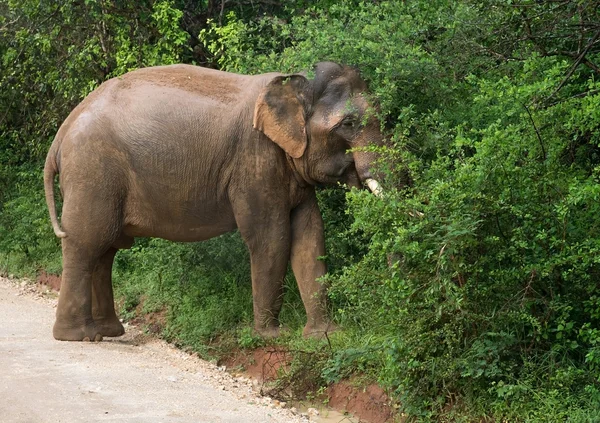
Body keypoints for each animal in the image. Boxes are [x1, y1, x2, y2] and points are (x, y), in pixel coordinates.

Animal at [45, 62, 384, 342]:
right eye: (349, 124)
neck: (293, 84)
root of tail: (62, 132)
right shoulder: (254, 160)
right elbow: (271, 237)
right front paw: (271, 336)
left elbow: (310, 235)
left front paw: (324, 336)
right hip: (93, 172)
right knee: (87, 243)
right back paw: (79, 337)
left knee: (105, 251)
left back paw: (108, 331)